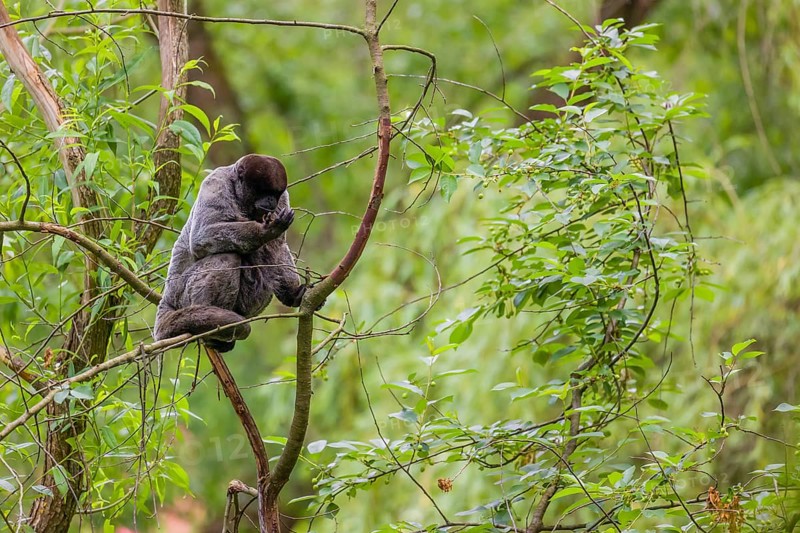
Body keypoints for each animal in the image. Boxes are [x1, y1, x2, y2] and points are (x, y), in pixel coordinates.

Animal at [154, 154, 305, 352]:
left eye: (275, 194)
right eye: (263, 192)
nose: (271, 201)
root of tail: (167, 299)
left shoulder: (283, 200)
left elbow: (277, 247)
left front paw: (293, 294)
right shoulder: (215, 183)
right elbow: (202, 235)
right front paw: (263, 232)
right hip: (181, 295)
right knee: (227, 256)